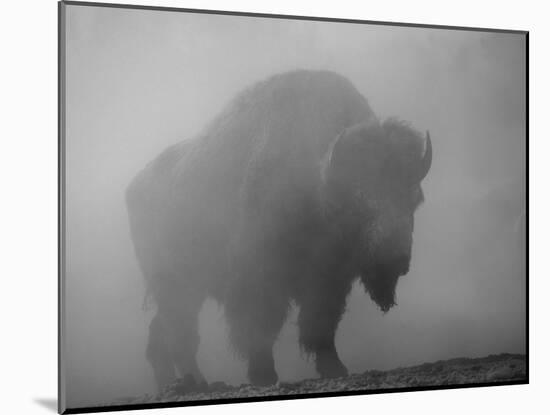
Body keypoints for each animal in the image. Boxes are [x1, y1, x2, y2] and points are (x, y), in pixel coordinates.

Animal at [127, 70, 434, 392]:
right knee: (180, 334)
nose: (396, 259)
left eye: (413, 198)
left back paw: (175, 383)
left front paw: (335, 368)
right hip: (175, 286)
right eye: (359, 200)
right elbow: (260, 327)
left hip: (186, 290)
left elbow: (320, 323)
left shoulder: (329, 280)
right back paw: (196, 382)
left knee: (163, 333)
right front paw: (263, 375)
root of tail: (134, 188)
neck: (320, 182)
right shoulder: (260, 278)